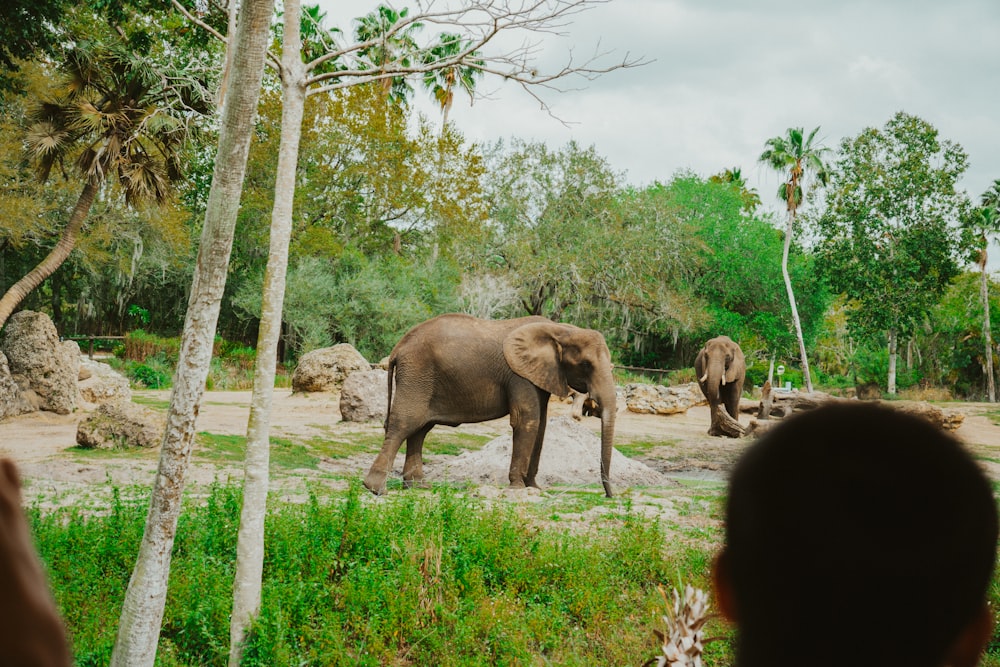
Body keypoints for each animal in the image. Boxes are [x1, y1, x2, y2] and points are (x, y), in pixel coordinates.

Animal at [366, 316, 616, 498]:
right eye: (586, 365)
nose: (609, 496)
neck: (560, 329)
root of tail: (398, 347)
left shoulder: (539, 375)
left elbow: (541, 424)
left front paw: (534, 488)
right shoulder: (519, 376)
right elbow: (527, 420)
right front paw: (518, 488)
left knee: (420, 428)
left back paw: (418, 486)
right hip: (417, 373)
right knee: (404, 423)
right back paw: (376, 489)